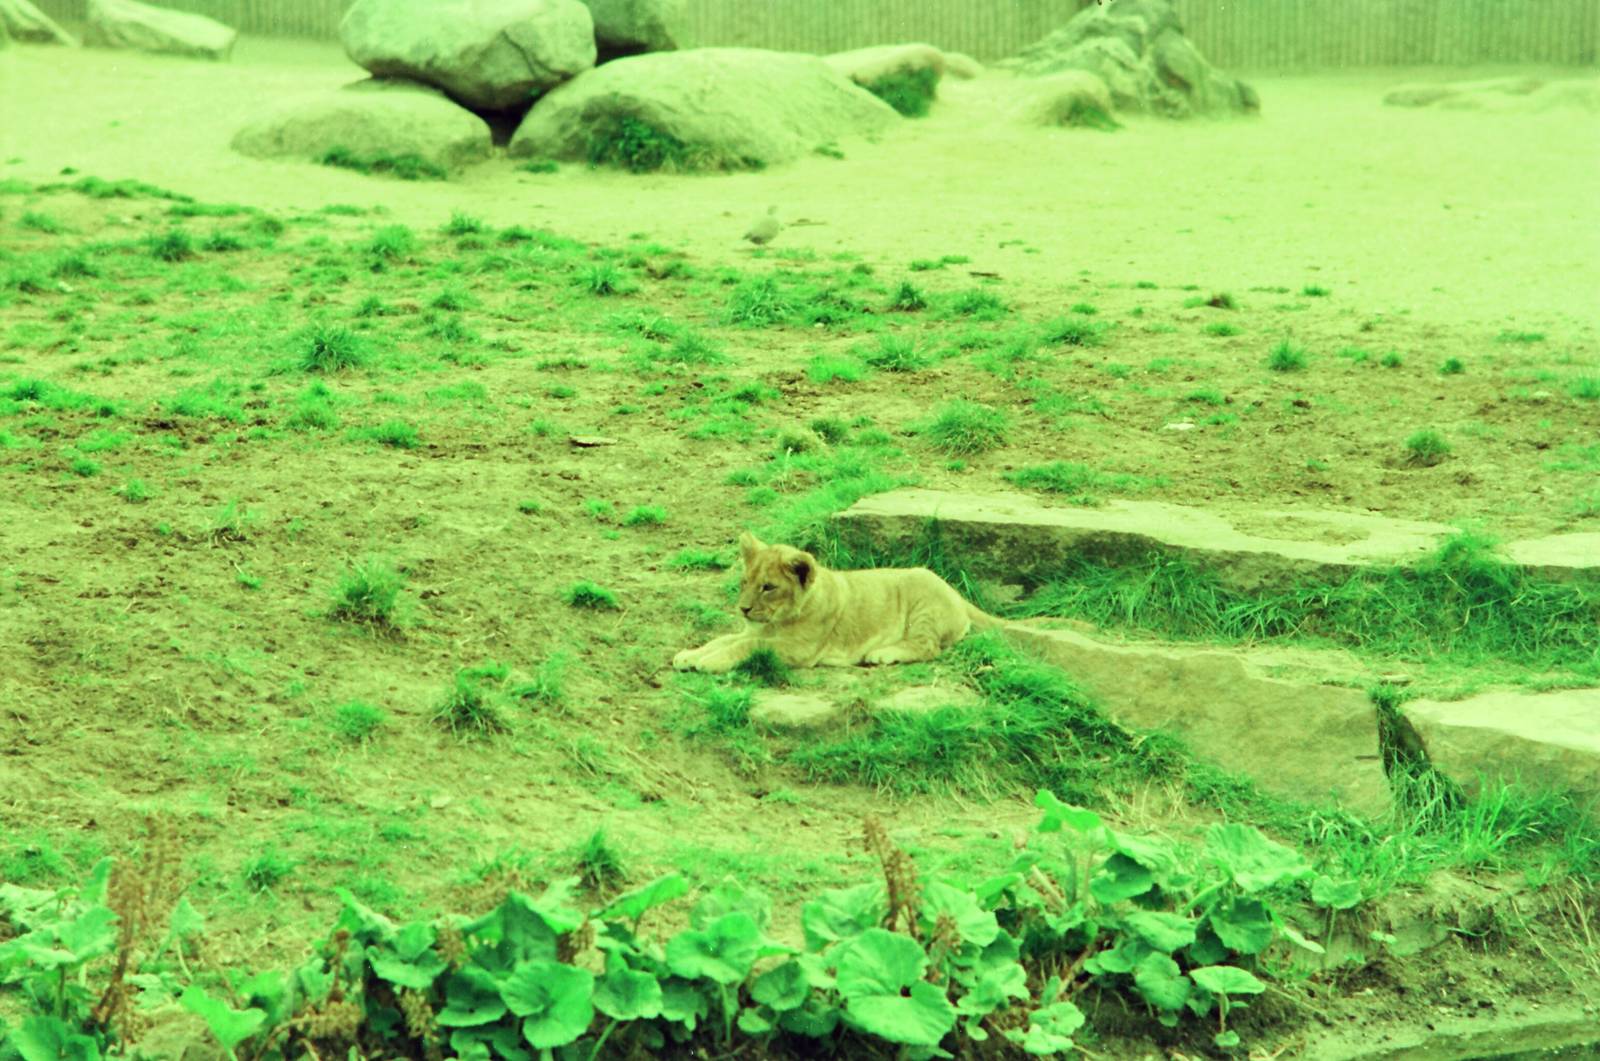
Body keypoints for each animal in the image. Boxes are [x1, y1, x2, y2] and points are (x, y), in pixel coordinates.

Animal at [672, 532, 1005, 672]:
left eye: (768, 587)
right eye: (745, 583)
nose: (743, 608)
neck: (777, 621)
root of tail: (957, 594)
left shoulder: (799, 649)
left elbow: (746, 645)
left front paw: (707, 662)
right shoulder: (753, 629)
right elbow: (723, 639)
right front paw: (689, 655)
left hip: (922, 605)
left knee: (928, 646)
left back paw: (881, 654)